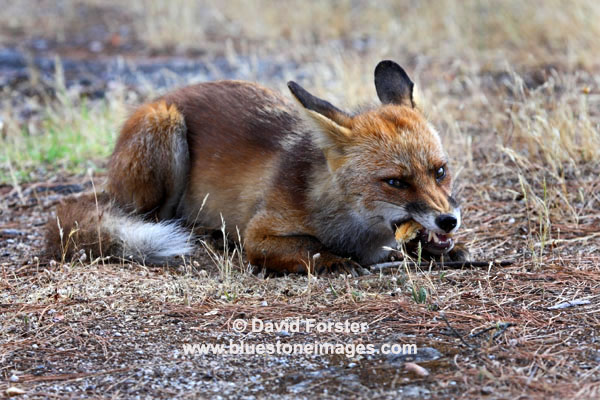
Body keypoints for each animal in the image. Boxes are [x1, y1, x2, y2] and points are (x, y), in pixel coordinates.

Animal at [47, 61, 468, 276]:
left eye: (440, 171)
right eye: (395, 181)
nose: (449, 221)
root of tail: (163, 96)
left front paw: (438, 249)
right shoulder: (260, 234)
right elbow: (312, 248)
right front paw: (339, 261)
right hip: (164, 130)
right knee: (150, 217)